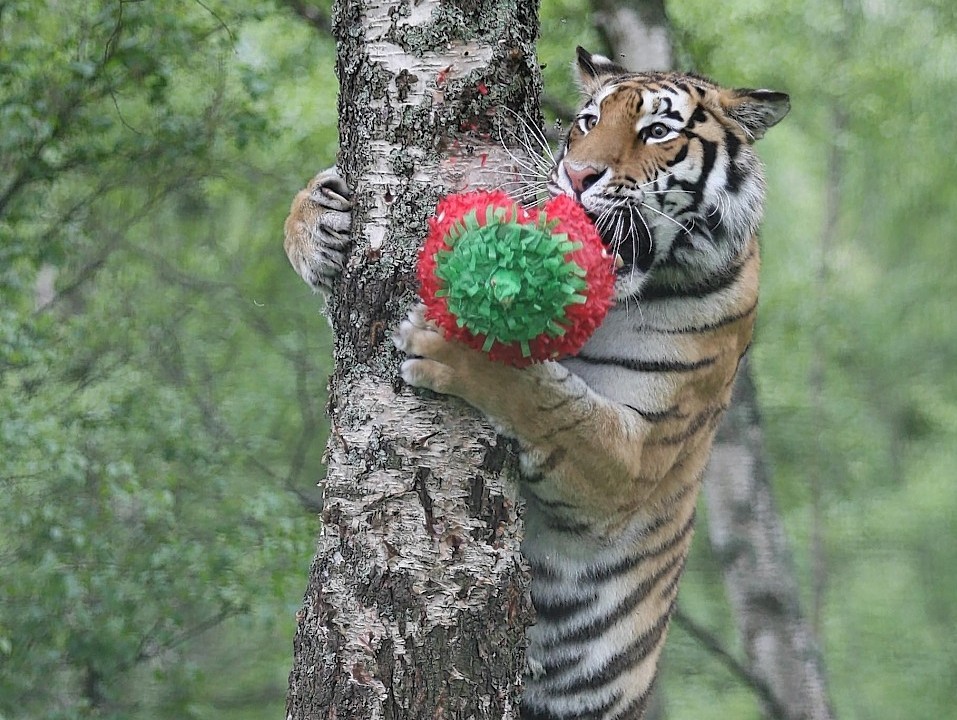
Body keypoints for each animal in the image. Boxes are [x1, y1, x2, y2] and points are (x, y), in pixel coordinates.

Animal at [282, 46, 784, 720]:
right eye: (587, 121)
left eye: (657, 131)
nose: (577, 175)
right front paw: (318, 218)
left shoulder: (635, 463)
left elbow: (549, 403)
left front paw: (466, 345)